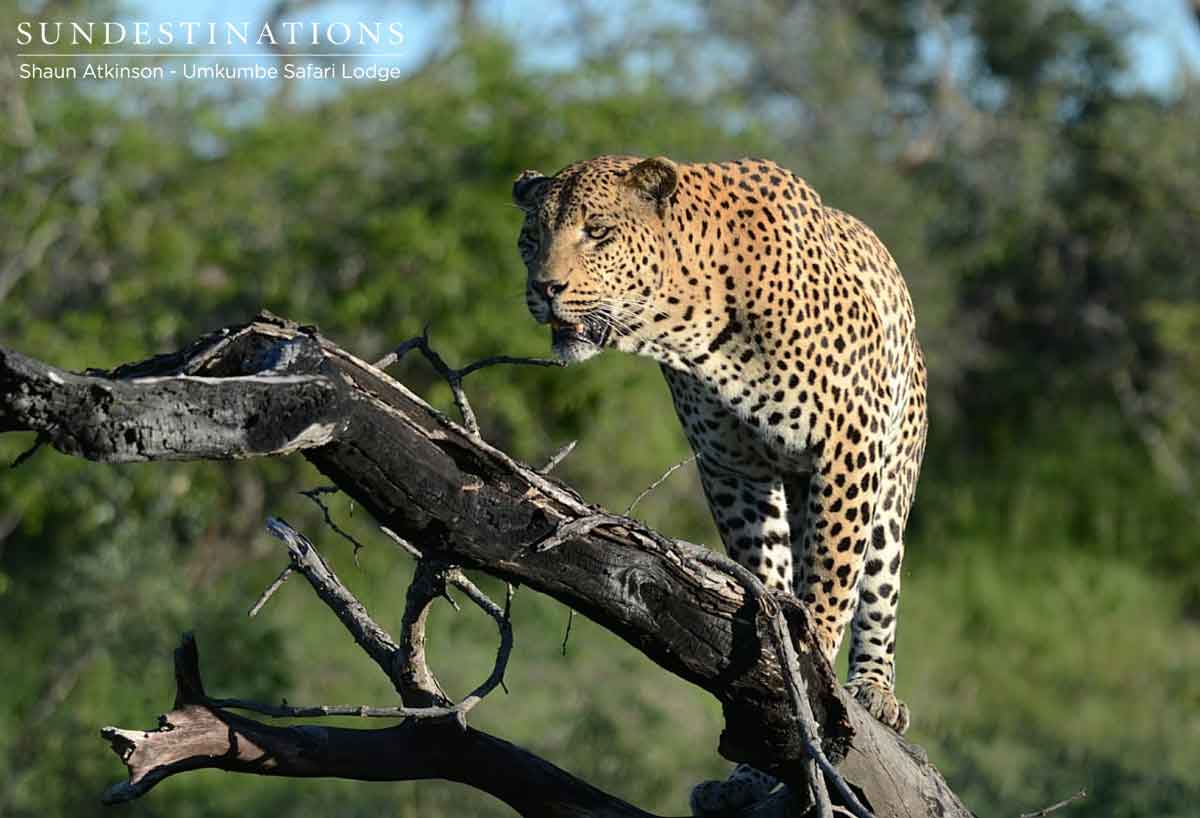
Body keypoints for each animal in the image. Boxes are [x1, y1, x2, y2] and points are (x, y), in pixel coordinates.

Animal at [513, 152, 926, 810]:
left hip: (891, 473)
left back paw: (874, 689)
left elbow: (834, 578)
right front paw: (778, 665)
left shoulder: (845, 448)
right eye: (530, 239)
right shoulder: (733, 468)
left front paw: (816, 662)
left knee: (880, 576)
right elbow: (765, 569)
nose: (544, 289)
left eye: (597, 232)